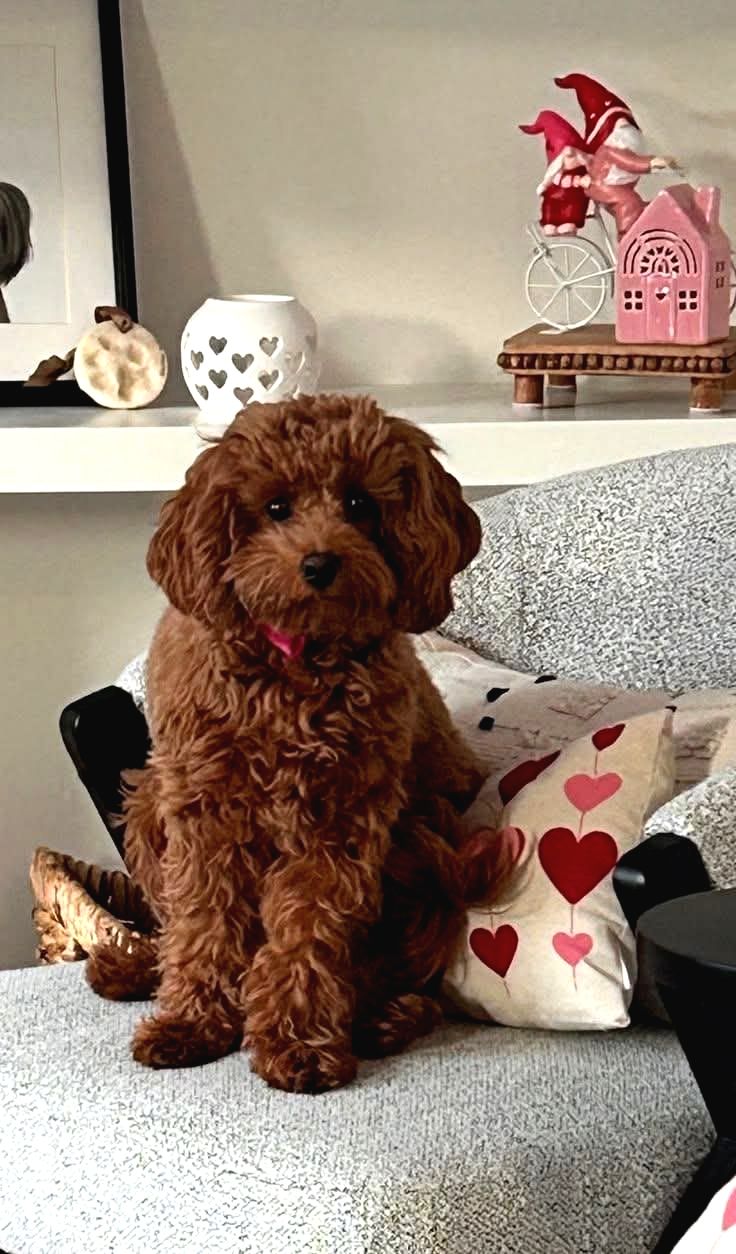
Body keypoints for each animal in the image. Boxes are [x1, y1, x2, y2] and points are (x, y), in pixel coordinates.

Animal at [88, 394, 492, 1093]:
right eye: (276, 507)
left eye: (359, 502)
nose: (320, 563)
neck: (294, 665)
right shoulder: (203, 816)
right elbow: (202, 924)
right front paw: (193, 1022)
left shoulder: (339, 827)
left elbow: (308, 932)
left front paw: (298, 1044)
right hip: (143, 809)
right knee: (169, 922)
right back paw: (133, 970)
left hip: (427, 849)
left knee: (406, 977)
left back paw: (381, 1019)